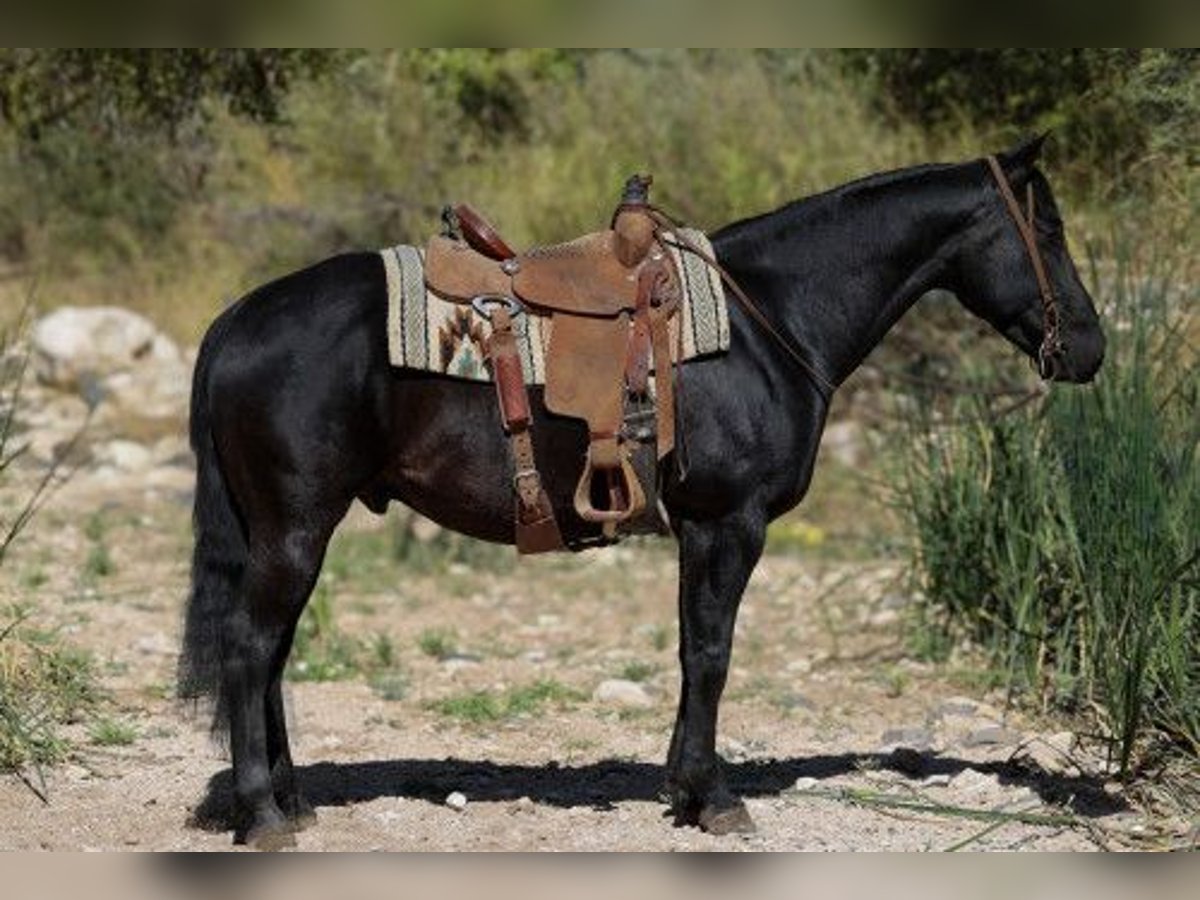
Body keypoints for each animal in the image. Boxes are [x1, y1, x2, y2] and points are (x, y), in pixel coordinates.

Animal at [177, 137, 1104, 849]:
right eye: (1048, 230)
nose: (1089, 348)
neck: (768, 321)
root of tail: (234, 320)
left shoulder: (701, 530)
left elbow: (693, 652)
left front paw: (681, 787)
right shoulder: (730, 524)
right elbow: (713, 653)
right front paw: (714, 797)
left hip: (288, 532)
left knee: (269, 655)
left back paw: (292, 799)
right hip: (296, 529)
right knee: (251, 649)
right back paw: (264, 814)